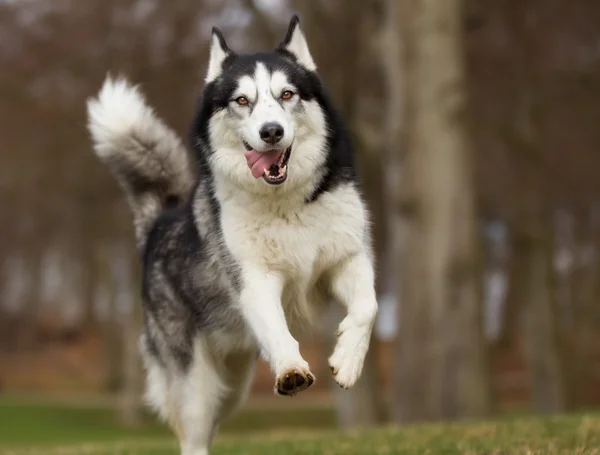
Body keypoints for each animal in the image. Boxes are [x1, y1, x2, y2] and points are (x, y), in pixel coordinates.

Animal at [86, 15, 378, 455]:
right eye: (242, 101)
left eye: (287, 94)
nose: (271, 131)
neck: (285, 203)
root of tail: (160, 222)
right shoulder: (254, 280)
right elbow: (276, 329)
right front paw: (291, 369)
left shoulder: (347, 258)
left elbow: (368, 307)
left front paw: (347, 361)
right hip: (197, 383)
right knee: (193, 435)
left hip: (234, 381)